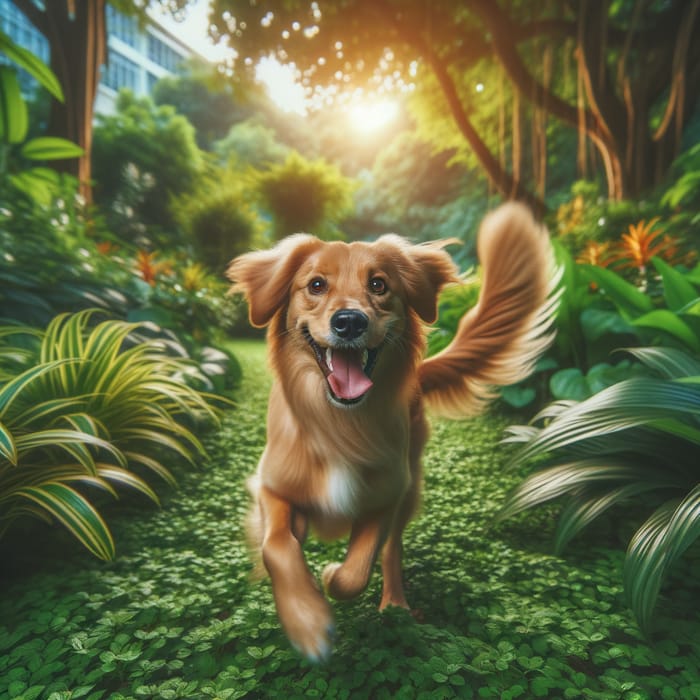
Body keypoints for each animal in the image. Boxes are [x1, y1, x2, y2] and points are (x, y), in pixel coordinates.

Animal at [230, 202, 556, 660]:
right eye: (316, 285)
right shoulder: (271, 486)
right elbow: (277, 546)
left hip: (411, 484)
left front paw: (328, 578)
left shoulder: (386, 495)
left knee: (392, 552)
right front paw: (306, 621)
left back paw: (396, 605)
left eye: (379, 284)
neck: (338, 422)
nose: (349, 321)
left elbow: (355, 572)